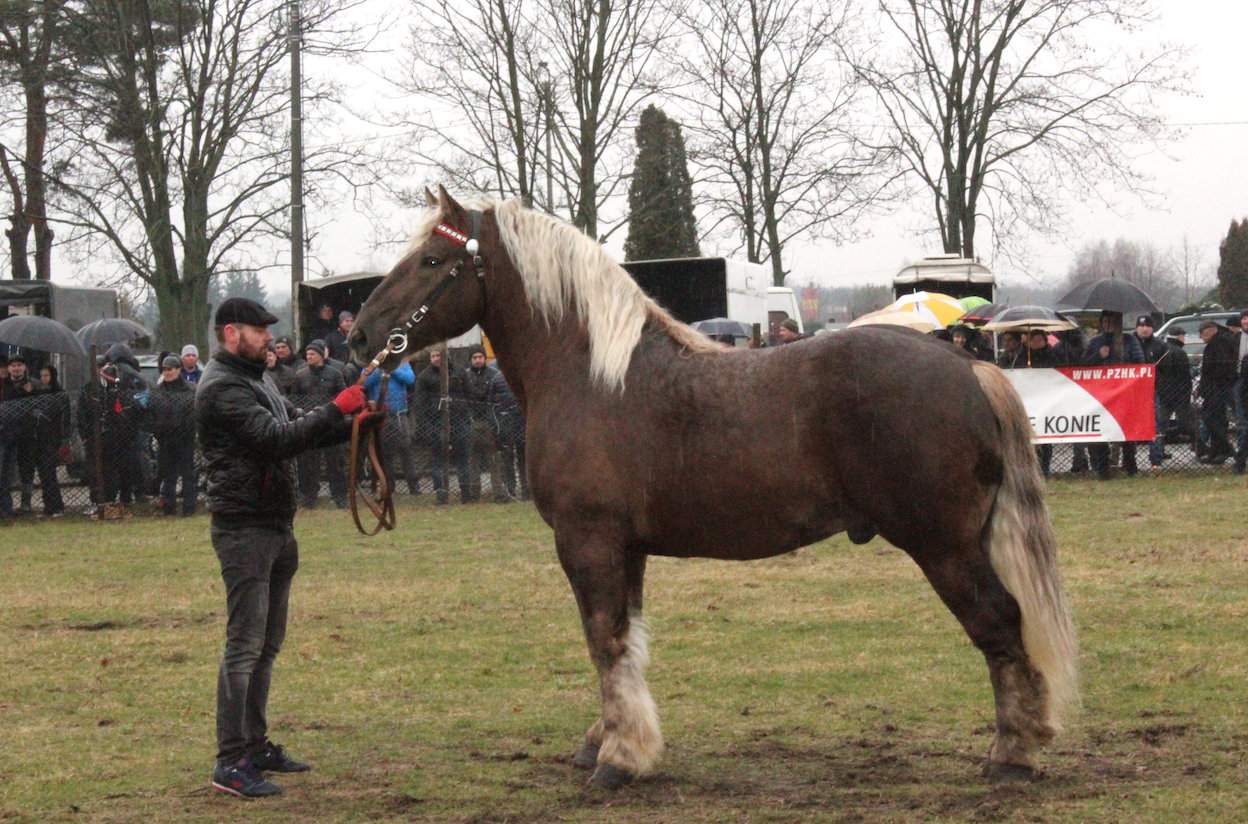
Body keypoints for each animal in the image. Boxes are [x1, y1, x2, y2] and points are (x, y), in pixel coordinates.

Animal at [346, 189, 1078, 789]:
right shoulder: (627, 549)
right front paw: (609, 740)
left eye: (432, 262)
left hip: (944, 546)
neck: (592, 376)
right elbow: (627, 642)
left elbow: (604, 640)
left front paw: (618, 760)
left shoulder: (588, 541)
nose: (359, 335)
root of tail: (966, 365)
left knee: (1000, 622)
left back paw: (1013, 753)